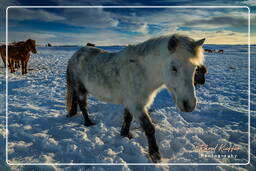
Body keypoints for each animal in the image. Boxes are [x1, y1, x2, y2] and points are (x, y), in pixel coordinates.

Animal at [66, 33, 206, 163]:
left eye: (194, 68)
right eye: (174, 68)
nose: (189, 105)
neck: (142, 71)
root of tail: (75, 55)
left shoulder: (131, 102)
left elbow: (127, 118)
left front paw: (125, 134)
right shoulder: (136, 105)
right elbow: (149, 128)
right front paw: (155, 155)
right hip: (80, 88)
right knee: (83, 105)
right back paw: (88, 123)